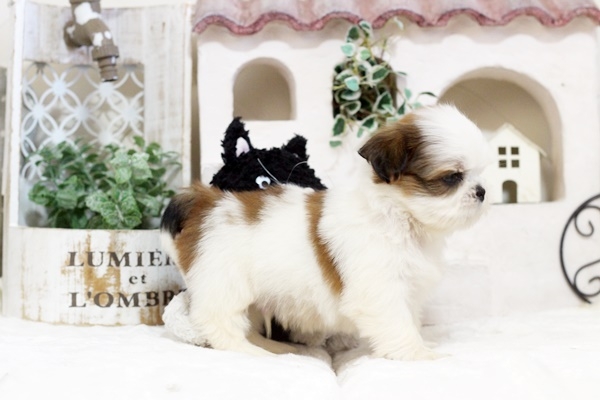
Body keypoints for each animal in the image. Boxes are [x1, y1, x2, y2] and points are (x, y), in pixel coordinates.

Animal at [160, 104, 490, 361]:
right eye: (452, 177)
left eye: (479, 174)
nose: (482, 192)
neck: (398, 216)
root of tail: (206, 201)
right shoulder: (379, 287)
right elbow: (397, 322)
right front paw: (418, 354)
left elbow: (410, 317)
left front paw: (421, 344)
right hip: (224, 284)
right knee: (219, 324)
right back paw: (252, 352)